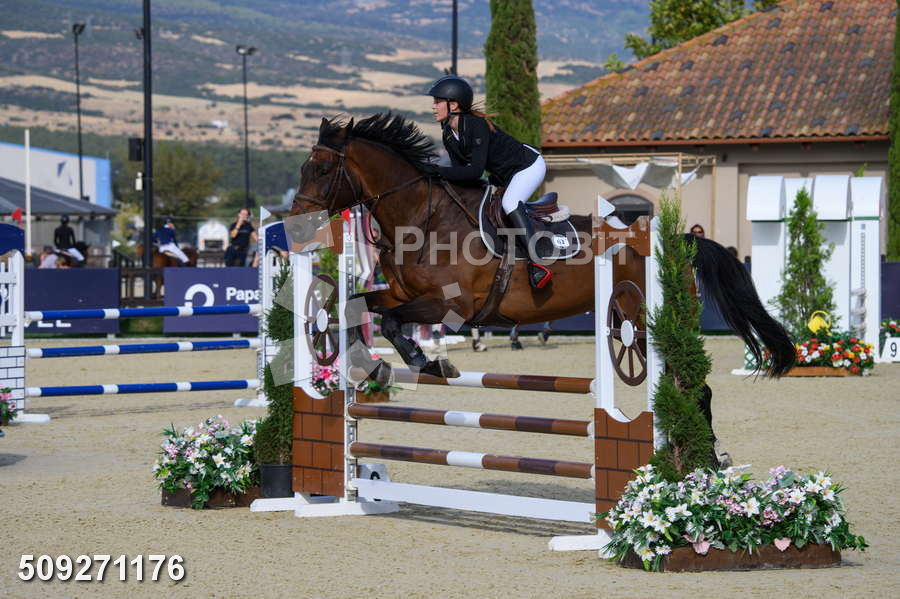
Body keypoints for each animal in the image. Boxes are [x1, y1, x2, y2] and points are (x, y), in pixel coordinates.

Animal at [291, 113, 795, 454]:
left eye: (321, 170)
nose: (295, 228)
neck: (422, 218)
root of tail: (672, 240)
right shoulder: (400, 294)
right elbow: (357, 308)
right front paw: (380, 367)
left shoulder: (450, 305)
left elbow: (395, 323)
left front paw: (427, 362)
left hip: (646, 323)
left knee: (694, 386)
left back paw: (709, 457)